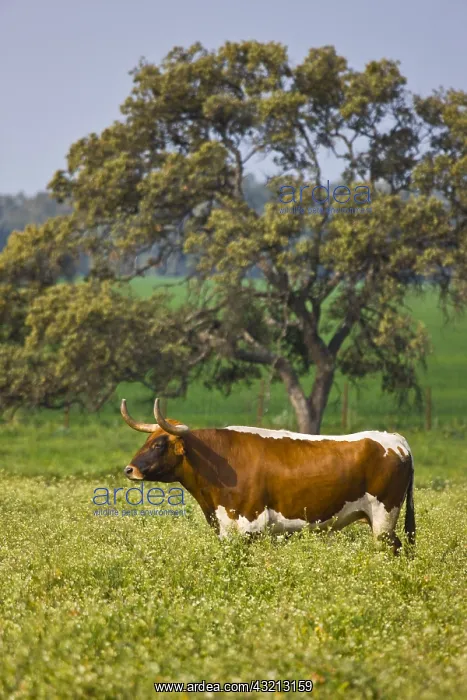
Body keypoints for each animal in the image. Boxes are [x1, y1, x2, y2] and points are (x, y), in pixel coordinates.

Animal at [120, 398, 415, 554]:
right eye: (147, 440)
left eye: (159, 444)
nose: (129, 469)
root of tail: (396, 439)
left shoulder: (250, 527)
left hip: (384, 518)